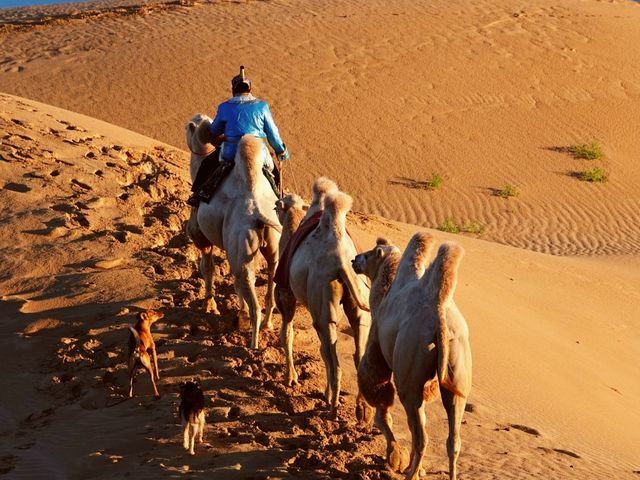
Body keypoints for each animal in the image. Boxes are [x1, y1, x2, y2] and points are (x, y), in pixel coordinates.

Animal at [184, 114, 282, 350]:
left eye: (190, 126)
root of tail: (260, 216)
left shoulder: (201, 237)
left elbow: (208, 268)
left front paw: (210, 306)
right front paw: (238, 313)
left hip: (243, 249)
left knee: (250, 292)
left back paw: (253, 344)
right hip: (271, 247)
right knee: (267, 284)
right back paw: (266, 324)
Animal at [274, 179, 372, 420]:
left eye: (276, 206)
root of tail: (342, 261)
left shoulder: (285, 292)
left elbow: (286, 334)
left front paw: (291, 378)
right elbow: (320, 350)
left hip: (323, 302)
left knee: (334, 360)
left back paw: (333, 410)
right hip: (357, 301)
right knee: (356, 351)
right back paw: (362, 411)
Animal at [352, 233, 472, 480]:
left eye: (370, 254)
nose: (354, 259)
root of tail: (439, 315)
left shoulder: (376, 342)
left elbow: (380, 406)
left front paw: (395, 457)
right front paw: (415, 466)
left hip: (410, 369)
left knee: (421, 436)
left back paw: (410, 474)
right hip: (457, 373)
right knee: (452, 439)